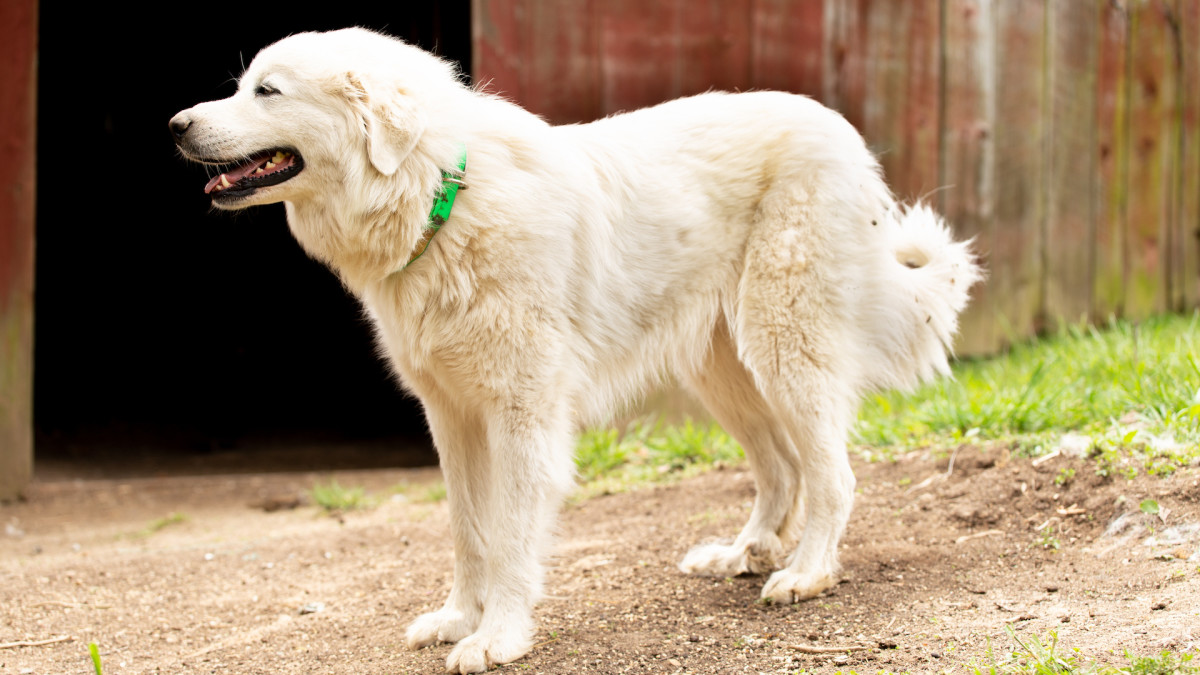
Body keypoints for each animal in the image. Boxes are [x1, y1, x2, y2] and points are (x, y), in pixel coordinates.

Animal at [171, 27, 974, 672]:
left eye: (267, 90)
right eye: (241, 84)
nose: (175, 125)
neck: (441, 195)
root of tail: (842, 129)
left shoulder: (523, 417)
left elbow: (510, 538)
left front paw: (497, 637)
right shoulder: (452, 417)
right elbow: (468, 533)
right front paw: (460, 619)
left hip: (786, 347)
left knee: (832, 472)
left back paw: (806, 573)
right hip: (724, 369)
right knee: (782, 467)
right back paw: (744, 553)